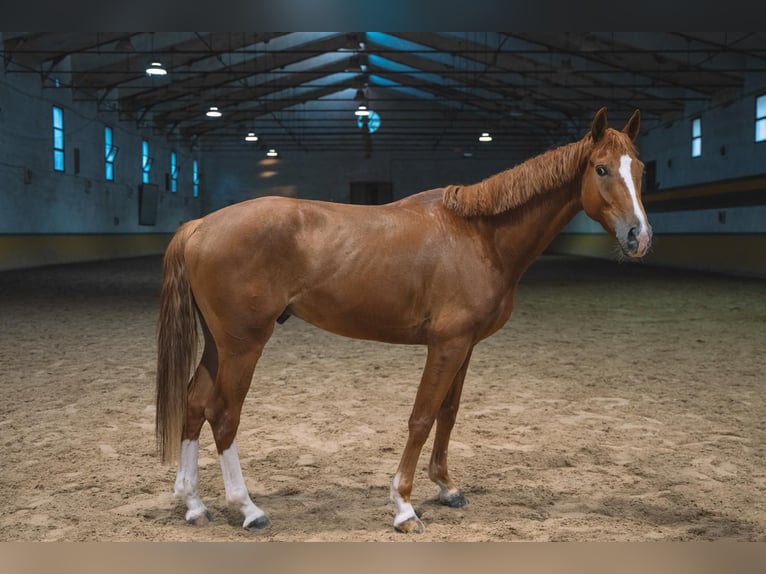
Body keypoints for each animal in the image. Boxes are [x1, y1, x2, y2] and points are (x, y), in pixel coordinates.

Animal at [156, 107, 656, 536]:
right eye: (601, 169)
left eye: (640, 169)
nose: (640, 236)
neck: (480, 236)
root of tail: (200, 225)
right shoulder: (446, 344)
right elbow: (421, 416)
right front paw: (403, 507)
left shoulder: (465, 346)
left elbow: (448, 414)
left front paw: (447, 488)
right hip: (243, 345)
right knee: (223, 415)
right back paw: (248, 509)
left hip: (219, 344)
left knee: (194, 403)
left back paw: (194, 504)